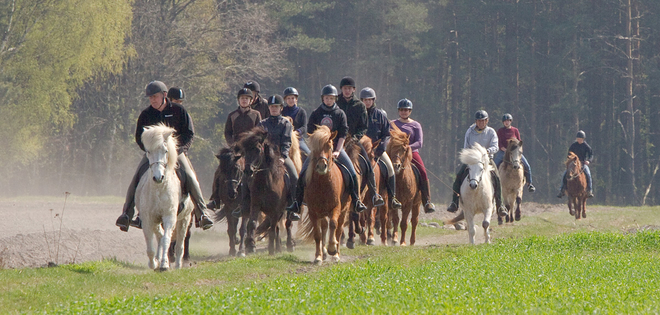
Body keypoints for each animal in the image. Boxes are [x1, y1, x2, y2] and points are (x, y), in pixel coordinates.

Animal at [135, 124, 193, 272]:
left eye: (165, 151)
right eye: (148, 151)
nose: (158, 177)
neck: (159, 189)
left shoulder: (169, 217)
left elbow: (167, 240)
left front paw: (164, 265)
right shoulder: (148, 219)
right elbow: (151, 246)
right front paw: (153, 263)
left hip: (185, 219)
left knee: (179, 244)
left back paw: (177, 264)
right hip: (157, 220)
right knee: (160, 236)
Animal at [236, 127, 296, 256]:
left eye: (258, 149)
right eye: (245, 151)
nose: (248, 171)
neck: (266, 182)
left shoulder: (276, 209)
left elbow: (273, 229)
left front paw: (271, 250)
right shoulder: (256, 205)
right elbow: (252, 224)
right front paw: (251, 246)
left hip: (285, 209)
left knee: (287, 224)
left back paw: (289, 245)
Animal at [298, 124, 350, 266]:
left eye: (330, 147)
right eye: (314, 149)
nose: (322, 166)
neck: (323, 184)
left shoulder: (336, 207)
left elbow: (333, 225)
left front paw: (332, 249)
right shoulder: (313, 211)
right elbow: (318, 234)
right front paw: (318, 257)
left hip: (344, 210)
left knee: (338, 230)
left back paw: (336, 254)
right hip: (322, 212)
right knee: (324, 228)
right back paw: (324, 253)